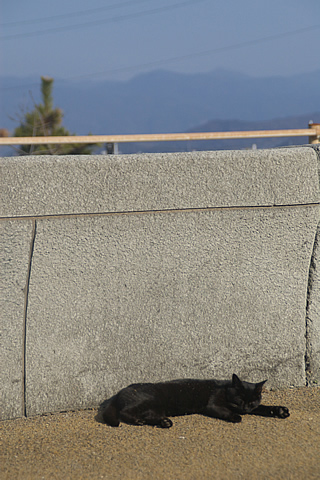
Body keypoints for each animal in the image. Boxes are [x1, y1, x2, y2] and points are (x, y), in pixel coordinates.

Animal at [100, 374, 290, 430]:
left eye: (251, 402)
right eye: (239, 400)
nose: (244, 409)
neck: (225, 388)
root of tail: (119, 392)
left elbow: (263, 408)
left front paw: (279, 410)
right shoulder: (213, 404)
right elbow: (224, 411)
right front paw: (236, 417)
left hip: (156, 408)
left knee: (150, 416)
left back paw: (165, 422)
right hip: (148, 400)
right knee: (125, 412)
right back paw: (137, 421)